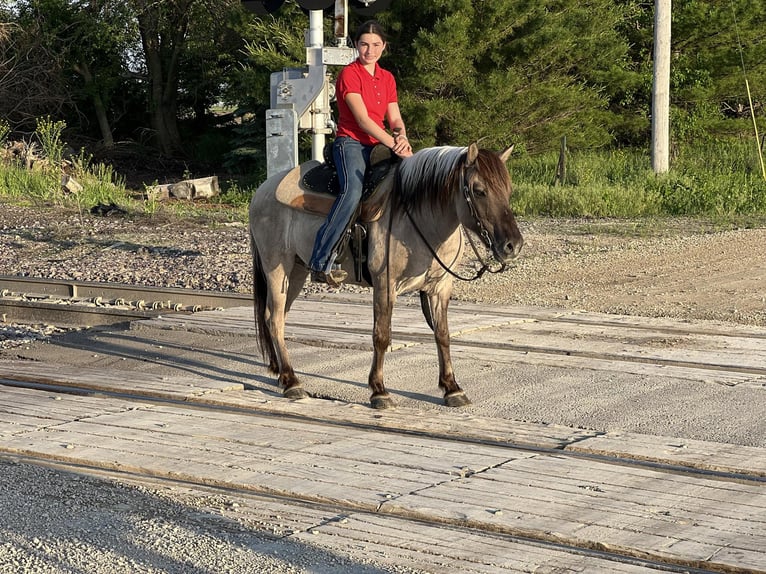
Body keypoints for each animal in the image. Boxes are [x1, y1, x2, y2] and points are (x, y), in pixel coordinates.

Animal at [248, 142, 524, 409]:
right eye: (479, 190)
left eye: (508, 190)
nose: (513, 245)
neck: (419, 217)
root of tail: (262, 190)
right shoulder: (385, 284)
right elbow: (381, 335)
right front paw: (379, 390)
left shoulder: (440, 287)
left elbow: (442, 334)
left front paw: (452, 388)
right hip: (277, 268)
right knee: (274, 319)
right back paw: (292, 382)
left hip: (296, 271)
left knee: (277, 317)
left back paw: (280, 373)